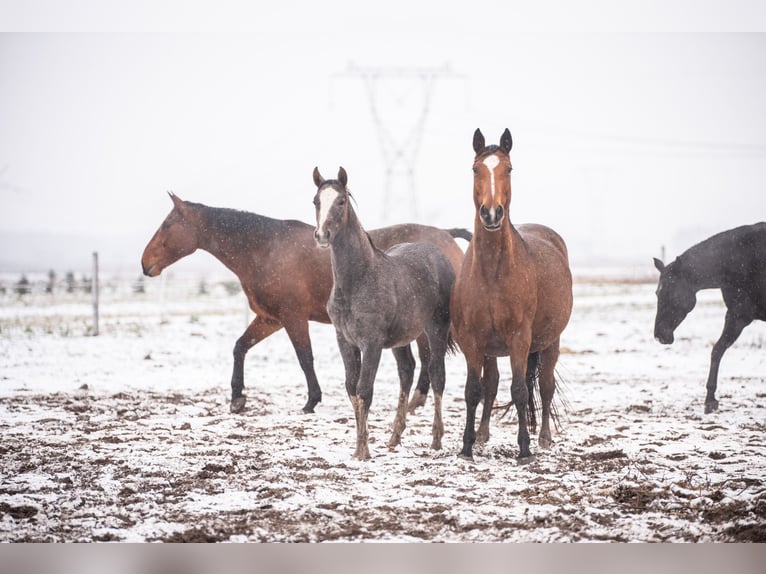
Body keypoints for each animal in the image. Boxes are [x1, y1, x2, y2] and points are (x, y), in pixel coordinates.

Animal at [141, 192, 467, 414]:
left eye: (167, 225)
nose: (145, 264)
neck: (266, 249)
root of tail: (446, 235)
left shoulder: (293, 318)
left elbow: (304, 357)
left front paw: (311, 400)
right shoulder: (270, 319)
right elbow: (240, 347)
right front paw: (237, 398)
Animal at [313, 166, 456, 460]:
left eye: (341, 201)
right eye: (316, 201)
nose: (322, 236)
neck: (358, 279)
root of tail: (438, 255)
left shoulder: (372, 343)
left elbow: (364, 390)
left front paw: (362, 452)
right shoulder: (345, 340)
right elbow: (351, 388)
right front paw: (360, 446)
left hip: (436, 329)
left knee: (437, 374)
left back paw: (436, 439)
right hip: (401, 340)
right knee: (407, 371)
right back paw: (394, 437)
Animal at [450, 128, 573, 462]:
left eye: (508, 168)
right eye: (475, 169)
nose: (491, 214)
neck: (492, 272)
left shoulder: (520, 339)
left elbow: (519, 390)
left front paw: (524, 449)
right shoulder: (471, 341)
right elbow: (473, 390)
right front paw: (466, 447)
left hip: (551, 342)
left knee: (545, 386)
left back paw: (544, 437)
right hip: (491, 349)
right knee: (490, 385)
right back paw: (482, 435)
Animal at [653, 222, 766, 413]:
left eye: (669, 292)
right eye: (657, 293)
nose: (659, 335)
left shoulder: (739, 316)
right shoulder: (736, 315)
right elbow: (717, 350)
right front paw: (710, 400)